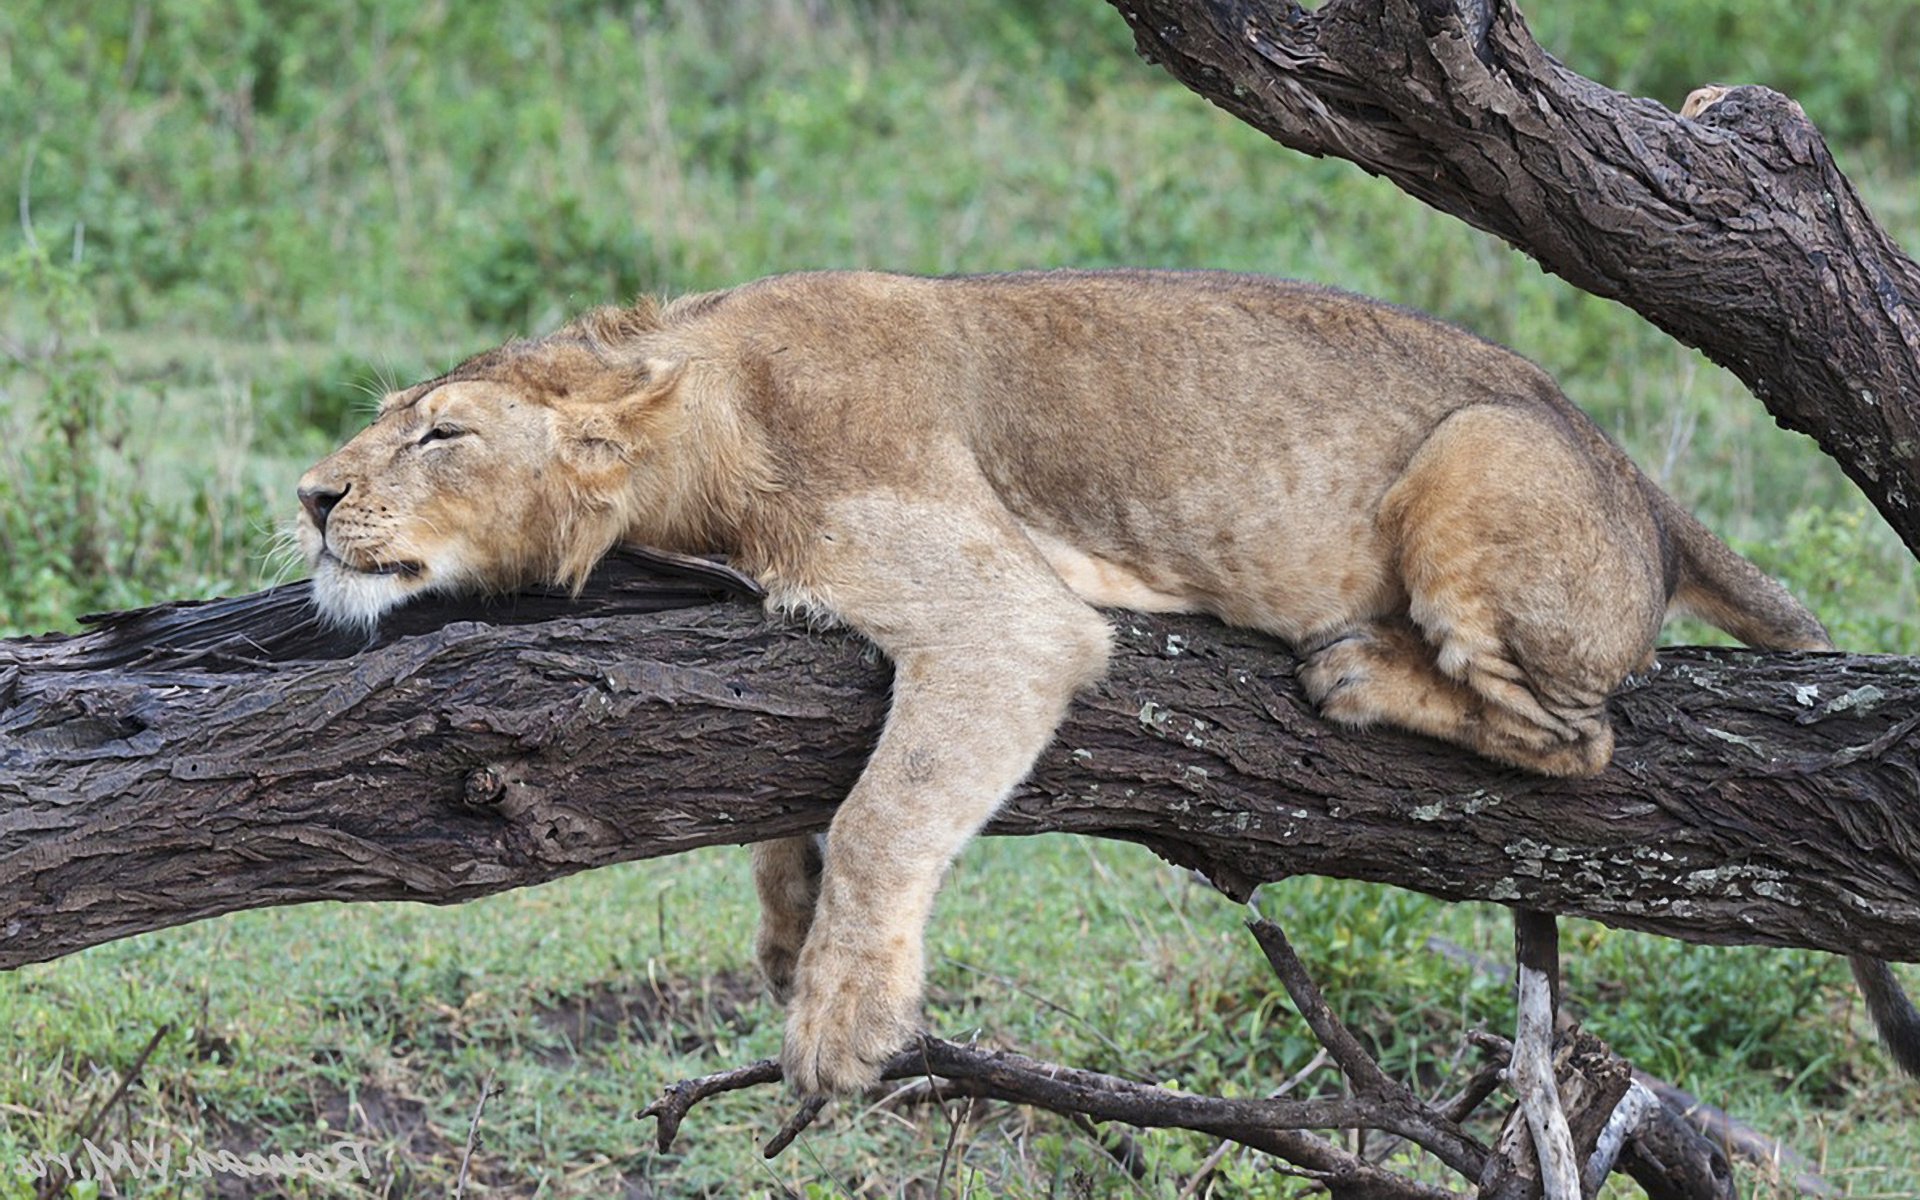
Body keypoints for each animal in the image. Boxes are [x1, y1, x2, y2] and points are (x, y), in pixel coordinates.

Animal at [291, 270, 1912, 1098]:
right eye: (385, 425)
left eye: (440, 434)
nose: (309, 497)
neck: (698, 430)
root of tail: (1636, 478)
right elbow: (798, 809)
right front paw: (786, 931)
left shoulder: (1010, 616)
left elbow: (888, 812)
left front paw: (840, 1019)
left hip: (1476, 455)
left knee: (1579, 741)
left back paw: (1358, 674)